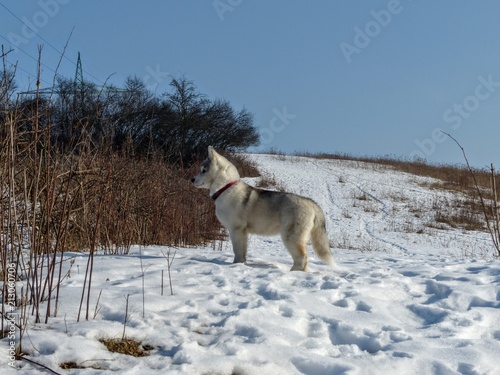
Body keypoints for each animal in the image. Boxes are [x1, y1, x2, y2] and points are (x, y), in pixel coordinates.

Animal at [191, 145, 336, 272]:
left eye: (203, 170)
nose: (191, 179)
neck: (226, 188)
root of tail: (312, 203)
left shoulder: (236, 229)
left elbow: (237, 251)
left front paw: (236, 265)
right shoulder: (243, 232)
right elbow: (242, 252)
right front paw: (240, 264)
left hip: (291, 236)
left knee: (302, 257)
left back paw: (293, 273)